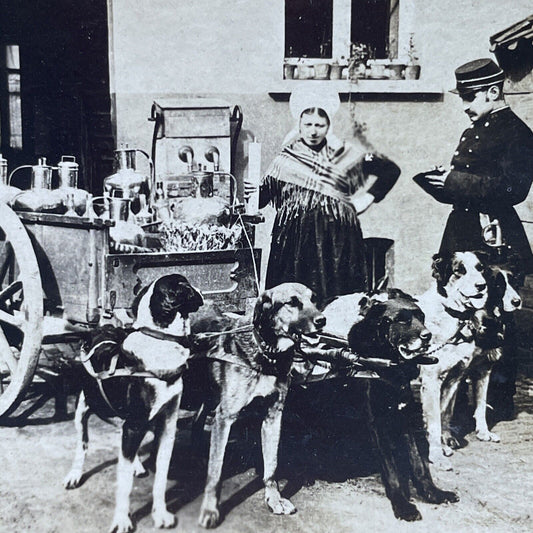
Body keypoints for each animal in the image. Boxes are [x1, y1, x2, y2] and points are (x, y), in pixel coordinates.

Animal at [62, 274, 204, 532]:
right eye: (185, 285)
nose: (200, 290)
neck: (160, 341)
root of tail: (102, 327)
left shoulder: (166, 426)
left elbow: (161, 478)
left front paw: (161, 514)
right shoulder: (134, 424)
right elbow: (124, 484)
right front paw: (122, 520)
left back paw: (136, 464)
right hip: (83, 410)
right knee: (82, 445)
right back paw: (75, 474)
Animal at [189, 282, 326, 528]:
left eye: (314, 299)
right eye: (292, 302)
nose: (322, 320)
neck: (267, 354)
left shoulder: (273, 416)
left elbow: (271, 465)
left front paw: (274, 499)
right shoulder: (225, 417)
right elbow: (216, 471)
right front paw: (210, 509)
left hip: (210, 394)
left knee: (197, 417)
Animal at [338, 288, 460, 516]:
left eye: (421, 317)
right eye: (401, 320)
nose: (427, 336)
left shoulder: (403, 419)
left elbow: (418, 463)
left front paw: (433, 494)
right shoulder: (376, 425)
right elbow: (391, 469)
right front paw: (403, 506)